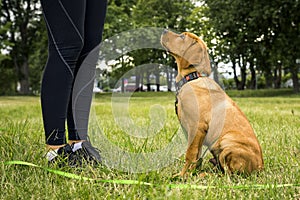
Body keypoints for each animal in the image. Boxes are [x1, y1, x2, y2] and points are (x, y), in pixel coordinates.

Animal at [162, 30, 262, 177]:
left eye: (182, 36)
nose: (163, 31)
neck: (191, 78)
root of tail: (260, 167)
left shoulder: (197, 126)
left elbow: (190, 154)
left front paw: (182, 176)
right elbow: (196, 156)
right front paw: (190, 174)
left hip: (227, 141)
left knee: (229, 174)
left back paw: (206, 175)